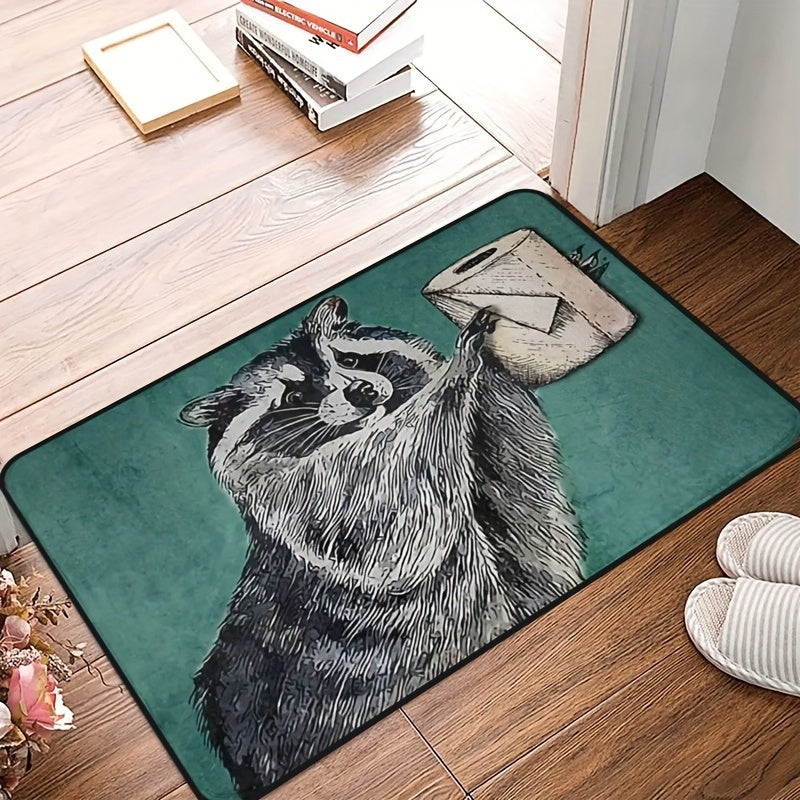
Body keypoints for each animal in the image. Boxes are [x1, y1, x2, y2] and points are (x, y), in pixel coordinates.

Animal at [179, 296, 585, 798]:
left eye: (349, 360)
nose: (361, 392)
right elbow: (399, 489)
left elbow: (518, 471)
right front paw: (457, 371)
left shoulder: (507, 486)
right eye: (292, 398)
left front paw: (485, 358)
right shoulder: (321, 502)